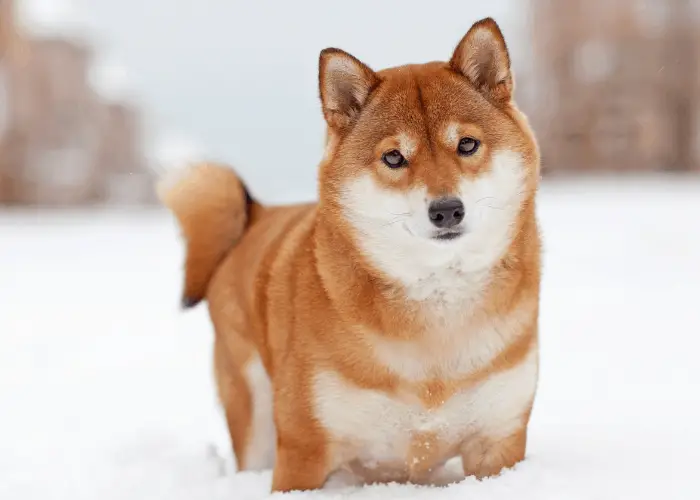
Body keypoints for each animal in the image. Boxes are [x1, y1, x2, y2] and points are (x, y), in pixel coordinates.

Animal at [159, 17, 540, 494]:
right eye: (393, 157)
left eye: (467, 145)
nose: (447, 210)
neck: (434, 321)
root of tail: (256, 216)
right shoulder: (304, 452)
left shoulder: (498, 442)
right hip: (253, 413)